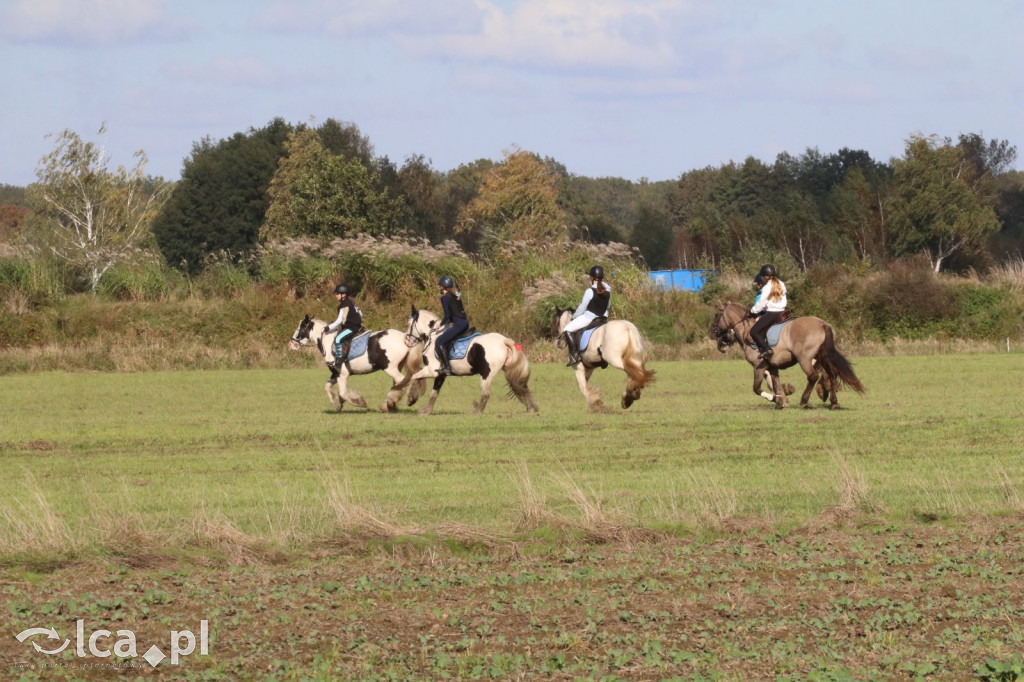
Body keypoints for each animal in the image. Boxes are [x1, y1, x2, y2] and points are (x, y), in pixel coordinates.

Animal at [288, 315, 428, 413]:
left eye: (301, 327)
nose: (292, 343)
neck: (328, 342)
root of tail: (405, 337)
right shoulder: (335, 374)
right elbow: (327, 387)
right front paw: (337, 403)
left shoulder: (342, 374)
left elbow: (343, 392)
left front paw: (359, 402)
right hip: (397, 366)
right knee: (399, 382)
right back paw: (391, 404)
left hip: (390, 368)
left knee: (402, 381)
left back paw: (392, 402)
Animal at [393, 307, 544, 413]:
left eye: (409, 323)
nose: (407, 341)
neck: (434, 335)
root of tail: (503, 341)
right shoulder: (440, 374)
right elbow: (434, 392)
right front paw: (426, 410)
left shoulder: (432, 370)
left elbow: (414, 377)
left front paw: (411, 399)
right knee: (521, 387)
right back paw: (531, 407)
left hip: (486, 373)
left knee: (486, 394)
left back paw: (476, 411)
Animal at [712, 303, 864, 409]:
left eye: (717, 315)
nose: (712, 333)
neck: (746, 331)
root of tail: (823, 324)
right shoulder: (772, 367)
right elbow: (775, 384)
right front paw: (782, 400)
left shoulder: (759, 366)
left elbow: (757, 388)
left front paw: (776, 399)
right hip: (822, 357)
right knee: (830, 375)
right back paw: (833, 402)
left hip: (805, 359)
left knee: (813, 377)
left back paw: (804, 401)